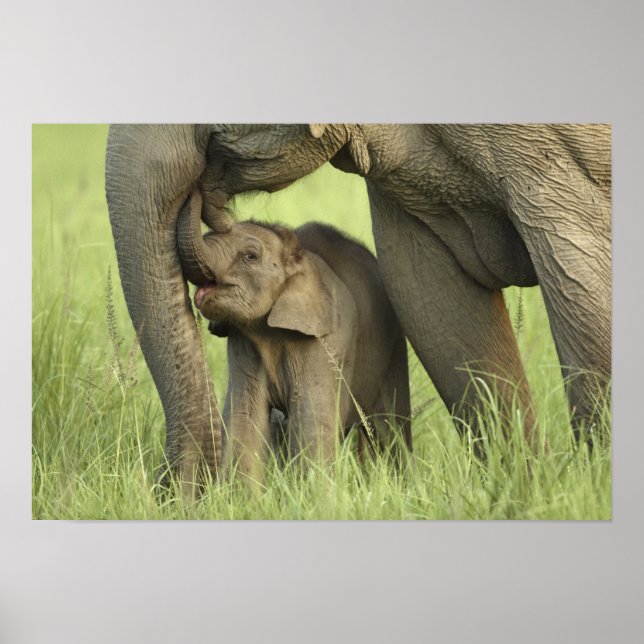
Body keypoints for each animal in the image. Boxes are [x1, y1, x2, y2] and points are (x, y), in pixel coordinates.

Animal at [176, 193, 411, 484]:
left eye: (250, 256)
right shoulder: (243, 342)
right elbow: (246, 417)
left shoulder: (325, 342)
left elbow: (310, 417)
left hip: (394, 346)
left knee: (391, 426)